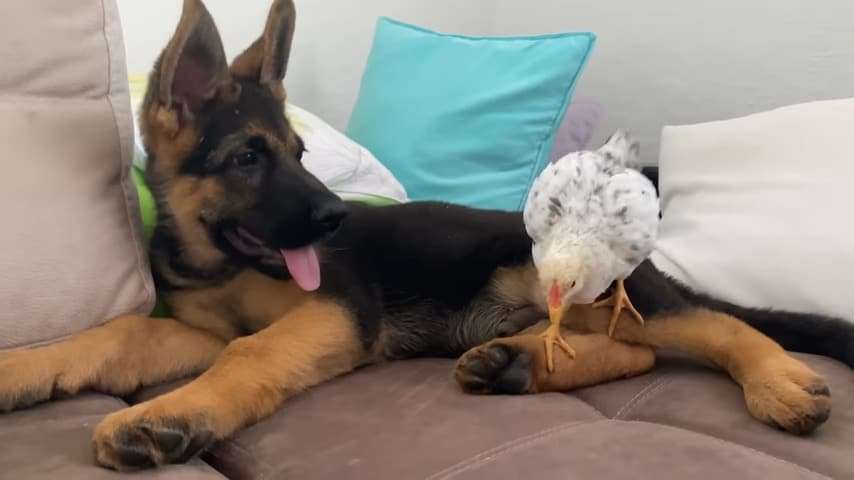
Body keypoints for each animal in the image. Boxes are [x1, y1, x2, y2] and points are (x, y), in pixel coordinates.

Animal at [1, 0, 854, 472]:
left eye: (301, 154)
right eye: (248, 157)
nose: (338, 219)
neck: (217, 260)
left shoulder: (335, 311)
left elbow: (250, 354)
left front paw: (165, 418)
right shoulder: (198, 331)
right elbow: (117, 335)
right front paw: (24, 368)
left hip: (578, 277)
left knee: (714, 326)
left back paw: (780, 381)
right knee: (635, 349)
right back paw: (517, 364)